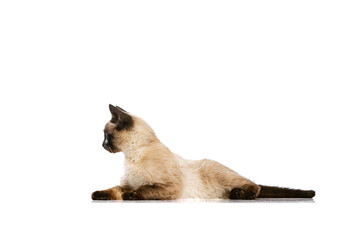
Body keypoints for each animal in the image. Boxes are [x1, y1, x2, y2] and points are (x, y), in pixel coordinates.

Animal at [92, 105, 316, 201]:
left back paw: (241, 195)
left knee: (255, 186)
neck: (132, 156)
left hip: (220, 174)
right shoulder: (124, 184)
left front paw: (131, 195)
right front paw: (97, 195)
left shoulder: (168, 187)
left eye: (106, 136)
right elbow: (113, 190)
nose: (102, 145)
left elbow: (143, 190)